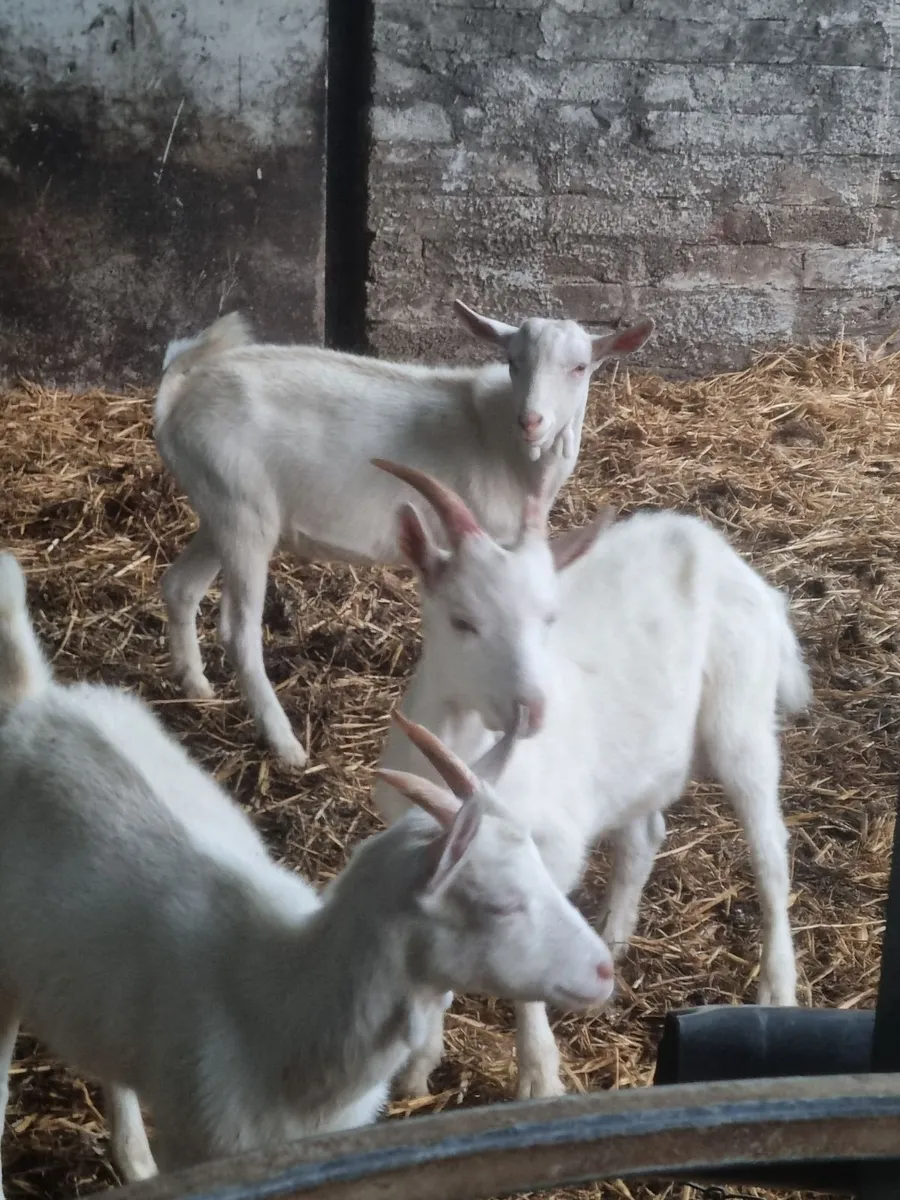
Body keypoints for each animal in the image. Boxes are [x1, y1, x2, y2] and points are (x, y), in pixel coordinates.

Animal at [153, 304, 654, 767]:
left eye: (580, 367)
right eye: (513, 361)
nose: (531, 421)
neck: (504, 445)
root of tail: (178, 397)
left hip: (220, 507)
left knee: (180, 586)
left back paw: (196, 685)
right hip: (243, 511)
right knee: (239, 631)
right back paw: (285, 743)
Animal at [370, 462, 811, 1100]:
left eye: (548, 619)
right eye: (462, 621)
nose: (534, 710)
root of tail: (720, 551)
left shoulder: (548, 852)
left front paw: (538, 1077)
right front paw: (416, 1066)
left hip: (742, 717)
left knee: (770, 848)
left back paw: (777, 987)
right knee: (645, 833)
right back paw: (615, 934)